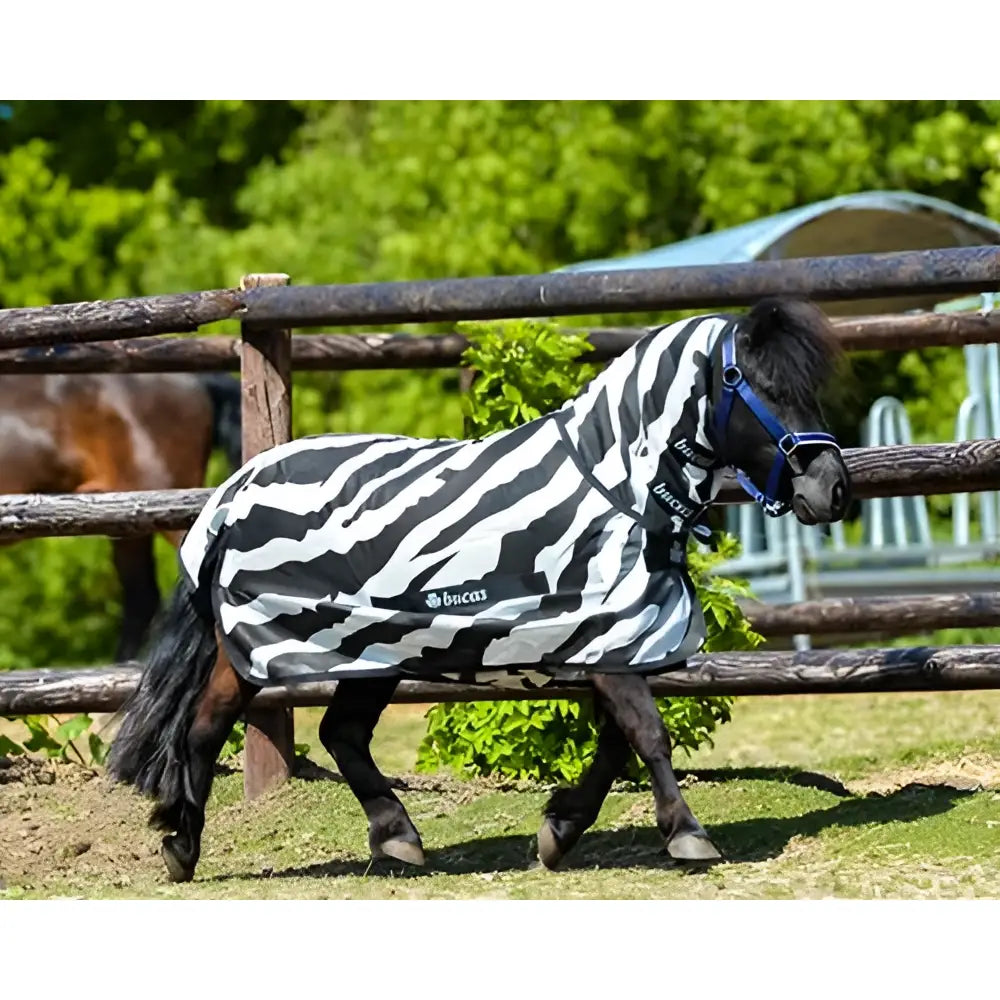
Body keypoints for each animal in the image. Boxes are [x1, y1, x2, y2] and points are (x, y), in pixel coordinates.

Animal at [107, 297, 851, 883]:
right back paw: (185, 846)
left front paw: (560, 831)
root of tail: (235, 491)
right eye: (761, 385)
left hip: (371, 650)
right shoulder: (606, 643)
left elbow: (617, 743)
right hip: (272, 646)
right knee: (209, 727)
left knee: (335, 732)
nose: (833, 489)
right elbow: (647, 733)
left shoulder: (605, 646)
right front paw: (687, 835)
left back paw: (391, 838)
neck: (615, 487)